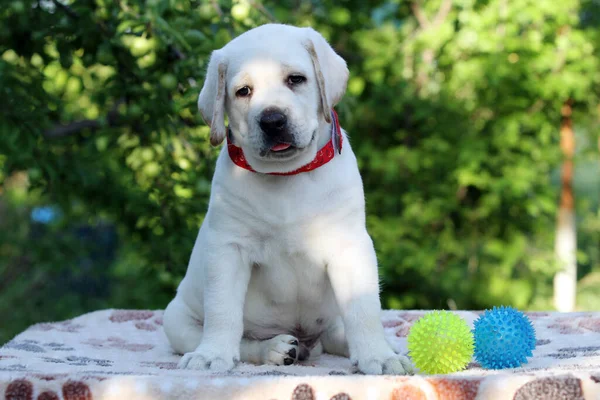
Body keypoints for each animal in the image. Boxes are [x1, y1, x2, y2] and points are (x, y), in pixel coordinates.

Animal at [162, 22, 414, 376]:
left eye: (296, 79)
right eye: (243, 91)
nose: (272, 120)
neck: (287, 176)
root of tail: (309, 342)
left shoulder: (349, 245)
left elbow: (363, 309)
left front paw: (378, 356)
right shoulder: (228, 248)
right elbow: (223, 311)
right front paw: (212, 354)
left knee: (337, 333)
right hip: (176, 320)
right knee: (242, 340)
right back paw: (276, 348)